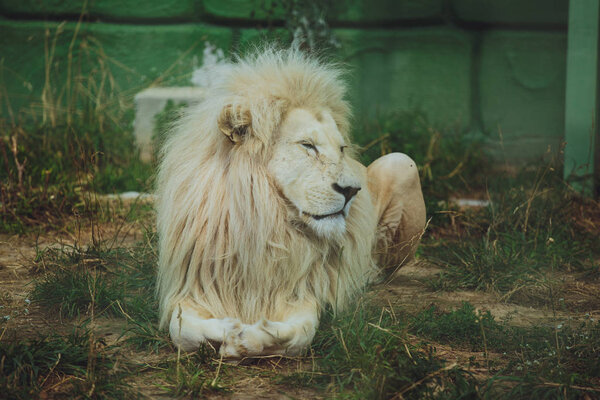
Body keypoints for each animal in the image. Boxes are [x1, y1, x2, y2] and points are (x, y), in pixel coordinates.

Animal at [155, 48, 426, 358]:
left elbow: (300, 333)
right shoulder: (193, 287)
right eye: (308, 145)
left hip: (403, 163)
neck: (267, 217)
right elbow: (182, 330)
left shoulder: (301, 290)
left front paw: (249, 340)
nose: (352, 190)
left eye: (341, 149)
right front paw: (228, 331)